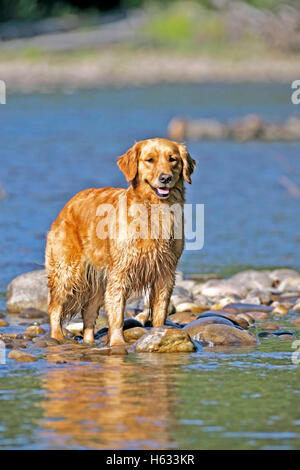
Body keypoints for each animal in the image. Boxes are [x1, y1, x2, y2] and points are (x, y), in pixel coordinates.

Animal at [44, 138, 195, 346]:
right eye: (150, 160)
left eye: (173, 159)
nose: (165, 178)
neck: (154, 209)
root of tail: (67, 205)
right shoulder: (120, 271)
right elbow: (116, 312)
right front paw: (117, 343)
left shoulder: (165, 272)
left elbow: (160, 310)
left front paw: (159, 333)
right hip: (68, 271)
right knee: (55, 307)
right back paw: (57, 337)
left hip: (97, 282)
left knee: (88, 313)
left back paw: (90, 343)